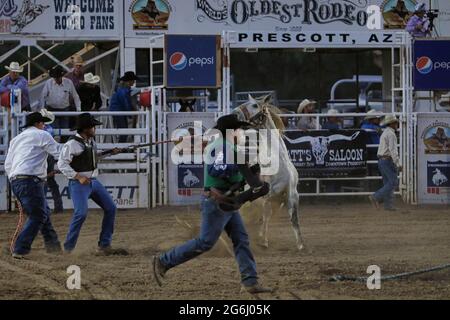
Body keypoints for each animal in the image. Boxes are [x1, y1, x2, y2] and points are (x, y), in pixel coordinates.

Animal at [234, 94, 304, 251]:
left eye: (254, 105)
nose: (235, 112)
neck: (280, 160)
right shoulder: (266, 196)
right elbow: (266, 216)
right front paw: (263, 241)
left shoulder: (291, 197)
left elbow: (294, 218)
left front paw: (300, 244)